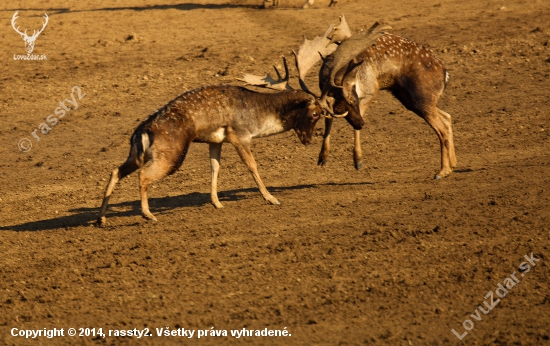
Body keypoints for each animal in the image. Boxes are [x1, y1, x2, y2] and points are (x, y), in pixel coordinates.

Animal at [98, 78, 336, 227]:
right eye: (315, 114)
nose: (307, 140)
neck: (259, 117)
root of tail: (142, 130)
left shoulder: (216, 141)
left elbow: (215, 167)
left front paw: (217, 203)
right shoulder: (240, 135)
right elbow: (252, 165)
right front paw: (271, 198)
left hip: (137, 154)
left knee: (115, 171)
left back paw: (101, 219)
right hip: (171, 154)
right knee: (143, 175)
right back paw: (148, 215)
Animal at [298, 15, 458, 178]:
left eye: (353, 100)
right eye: (341, 108)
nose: (361, 124)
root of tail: (445, 74)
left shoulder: (371, 89)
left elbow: (360, 111)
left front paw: (358, 161)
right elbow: (328, 119)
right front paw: (322, 158)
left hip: (421, 97)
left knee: (442, 128)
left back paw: (442, 171)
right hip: (409, 99)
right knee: (447, 117)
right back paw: (453, 164)